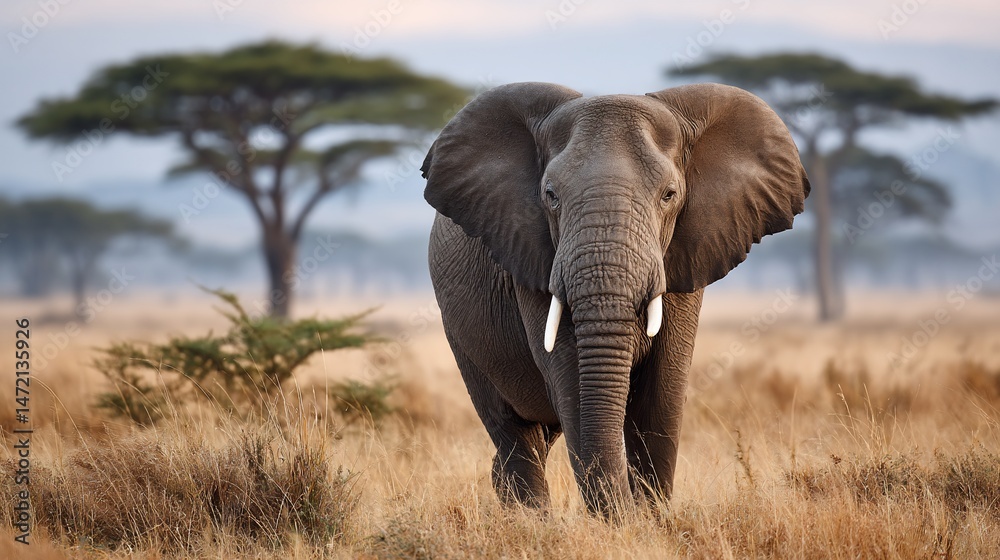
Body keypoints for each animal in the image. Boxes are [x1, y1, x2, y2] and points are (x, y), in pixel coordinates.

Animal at [421, 82, 809, 514]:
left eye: (669, 195)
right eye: (550, 196)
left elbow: (662, 392)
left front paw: (653, 518)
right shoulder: (533, 257)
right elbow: (573, 383)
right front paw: (627, 518)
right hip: (459, 333)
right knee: (512, 429)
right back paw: (530, 516)